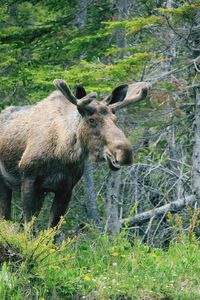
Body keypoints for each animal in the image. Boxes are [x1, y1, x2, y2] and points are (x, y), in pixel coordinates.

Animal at [0, 79, 148, 227]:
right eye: (91, 120)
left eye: (114, 119)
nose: (125, 153)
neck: (62, 152)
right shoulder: (28, 179)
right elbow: (28, 227)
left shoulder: (65, 189)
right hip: (5, 183)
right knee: (6, 218)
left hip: (40, 193)